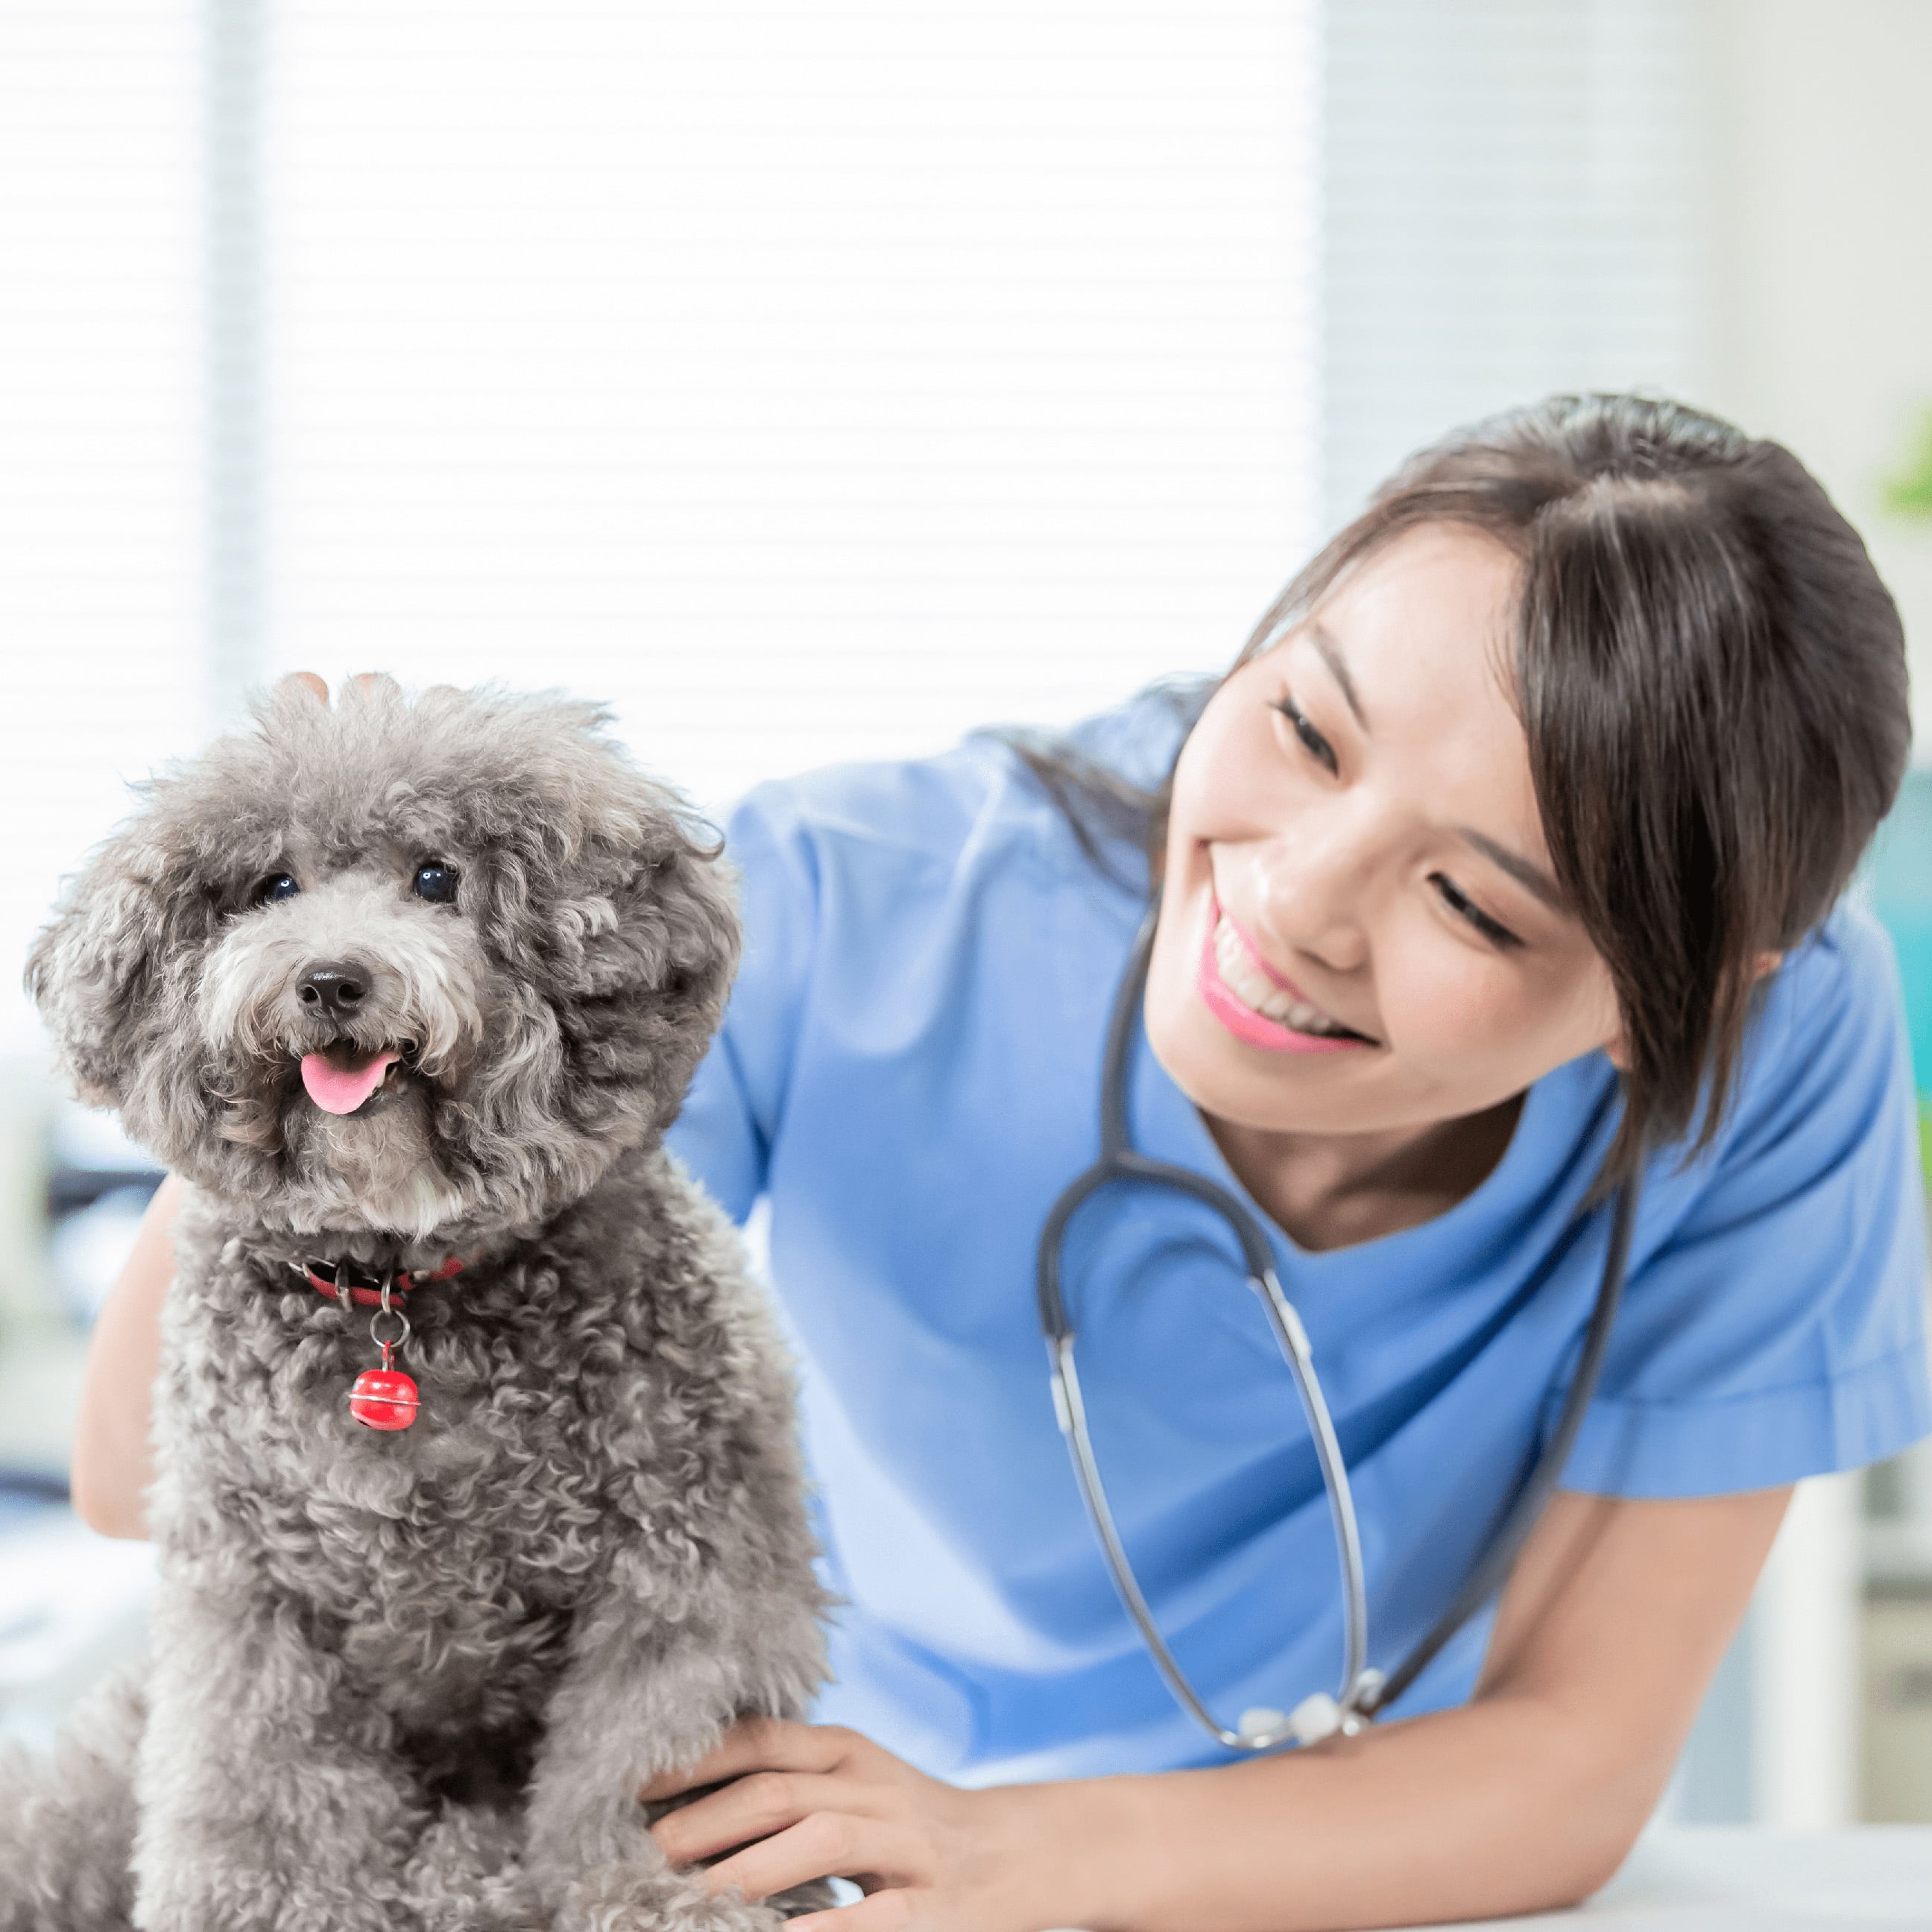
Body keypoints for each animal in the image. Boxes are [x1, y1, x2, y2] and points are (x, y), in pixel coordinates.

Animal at [1, 680, 830, 1932]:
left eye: (437, 878)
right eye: (273, 888)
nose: (331, 980)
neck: (396, 1289)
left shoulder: (685, 1570)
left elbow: (646, 1774)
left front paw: (659, 1896)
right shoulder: (253, 1603)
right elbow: (263, 1791)